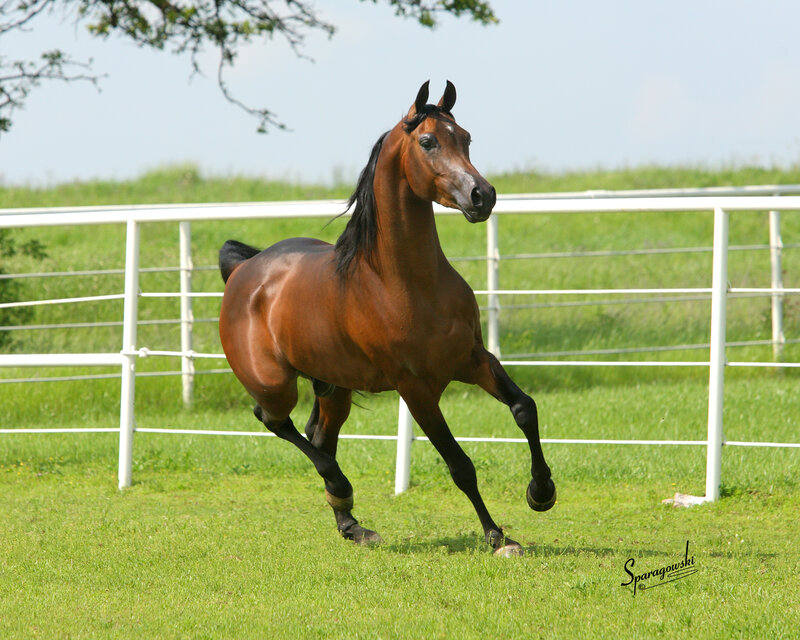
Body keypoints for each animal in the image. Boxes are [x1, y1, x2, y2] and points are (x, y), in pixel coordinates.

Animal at [218, 81, 556, 556]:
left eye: (466, 138)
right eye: (428, 141)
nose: (482, 196)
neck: (407, 284)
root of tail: (243, 269)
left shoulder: (473, 359)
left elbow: (525, 408)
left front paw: (541, 492)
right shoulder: (415, 388)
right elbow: (460, 464)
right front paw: (496, 536)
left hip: (334, 387)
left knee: (320, 436)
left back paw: (352, 524)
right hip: (274, 384)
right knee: (274, 421)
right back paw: (341, 490)